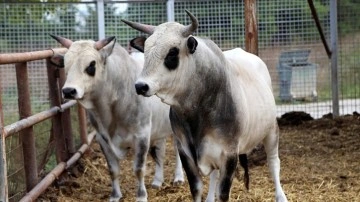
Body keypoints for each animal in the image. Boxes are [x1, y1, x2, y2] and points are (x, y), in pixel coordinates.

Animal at [49, 35, 184, 202]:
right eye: (66, 64)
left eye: (91, 64)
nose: (68, 91)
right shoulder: (102, 139)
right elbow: (113, 170)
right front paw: (115, 196)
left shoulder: (141, 136)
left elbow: (139, 169)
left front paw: (141, 196)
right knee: (160, 152)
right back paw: (157, 181)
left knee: (178, 152)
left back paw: (178, 178)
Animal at [122, 9, 288, 202]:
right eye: (146, 51)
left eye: (172, 52)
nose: (141, 86)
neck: (197, 112)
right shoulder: (186, 152)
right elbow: (197, 188)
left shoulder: (229, 154)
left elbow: (223, 193)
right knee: (214, 175)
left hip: (272, 130)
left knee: (273, 163)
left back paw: (281, 196)